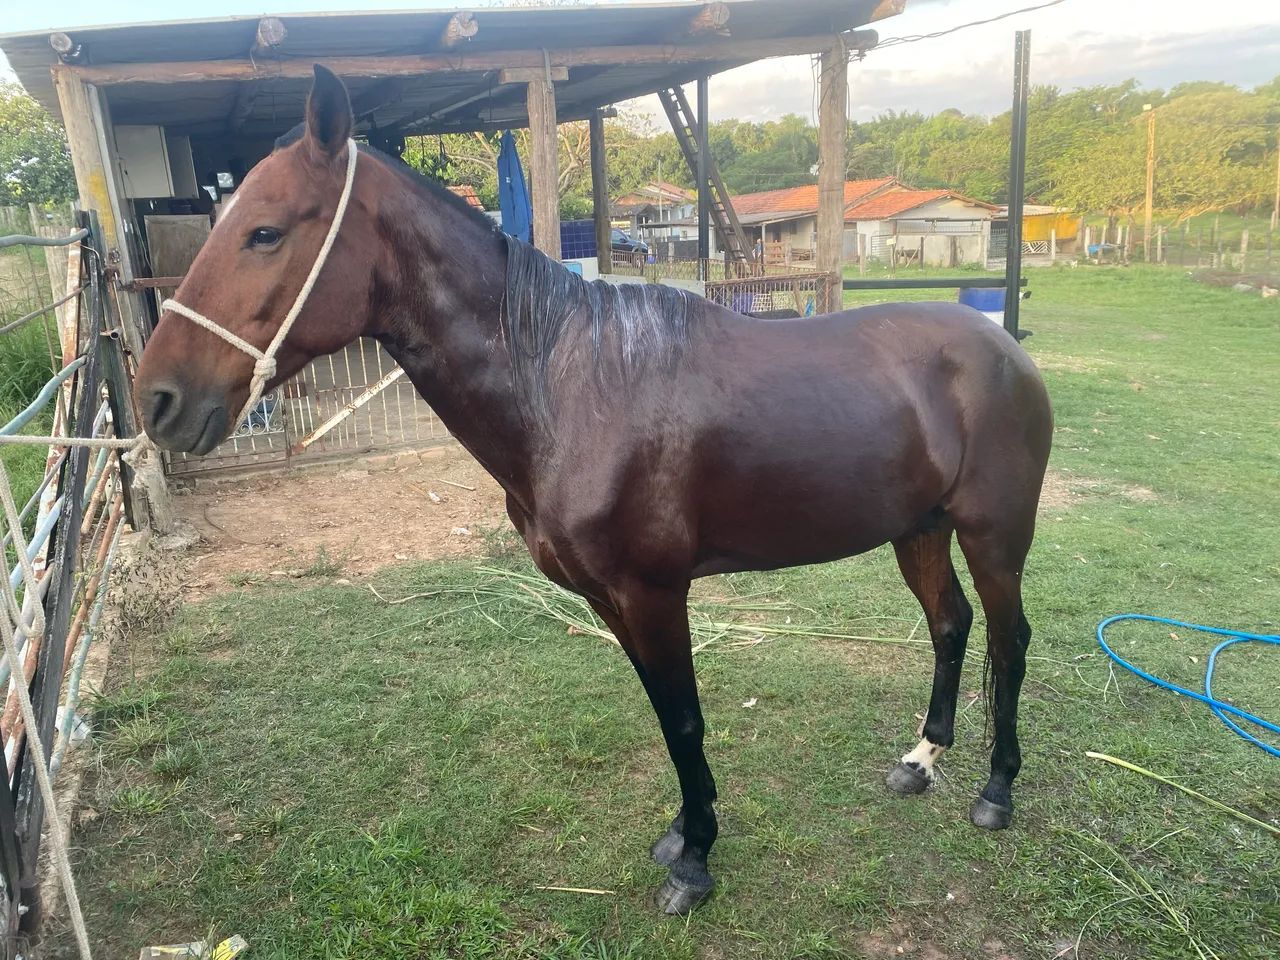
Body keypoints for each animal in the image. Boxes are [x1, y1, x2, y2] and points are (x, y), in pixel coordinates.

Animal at [135, 66, 1053, 916]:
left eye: (264, 231)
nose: (158, 400)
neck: (568, 387)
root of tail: (1002, 343)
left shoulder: (653, 592)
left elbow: (684, 719)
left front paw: (696, 862)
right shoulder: (610, 600)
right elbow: (665, 717)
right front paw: (683, 832)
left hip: (993, 535)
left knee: (1009, 640)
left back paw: (997, 790)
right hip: (919, 528)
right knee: (950, 625)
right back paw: (921, 761)